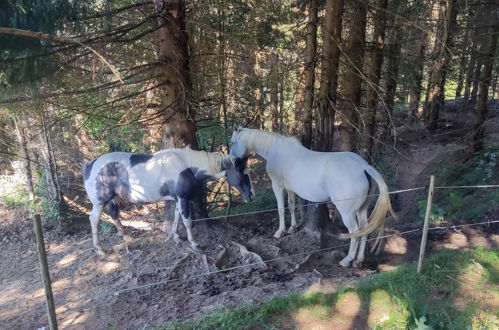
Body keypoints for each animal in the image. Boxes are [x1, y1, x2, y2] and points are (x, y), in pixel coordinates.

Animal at [84, 147, 254, 253]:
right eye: (243, 173)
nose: (251, 195)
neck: (186, 166)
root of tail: (90, 164)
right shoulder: (183, 198)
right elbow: (187, 221)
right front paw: (194, 244)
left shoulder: (178, 198)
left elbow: (177, 217)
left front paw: (176, 236)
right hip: (99, 202)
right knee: (94, 220)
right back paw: (99, 248)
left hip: (113, 198)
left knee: (114, 214)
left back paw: (125, 236)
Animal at [230, 127, 398, 268]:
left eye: (232, 142)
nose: (231, 160)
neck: (276, 150)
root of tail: (364, 167)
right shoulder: (290, 189)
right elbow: (291, 206)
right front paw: (292, 228)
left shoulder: (277, 186)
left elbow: (281, 209)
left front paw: (280, 232)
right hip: (362, 209)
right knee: (364, 229)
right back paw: (359, 260)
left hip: (348, 213)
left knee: (355, 232)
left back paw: (347, 260)